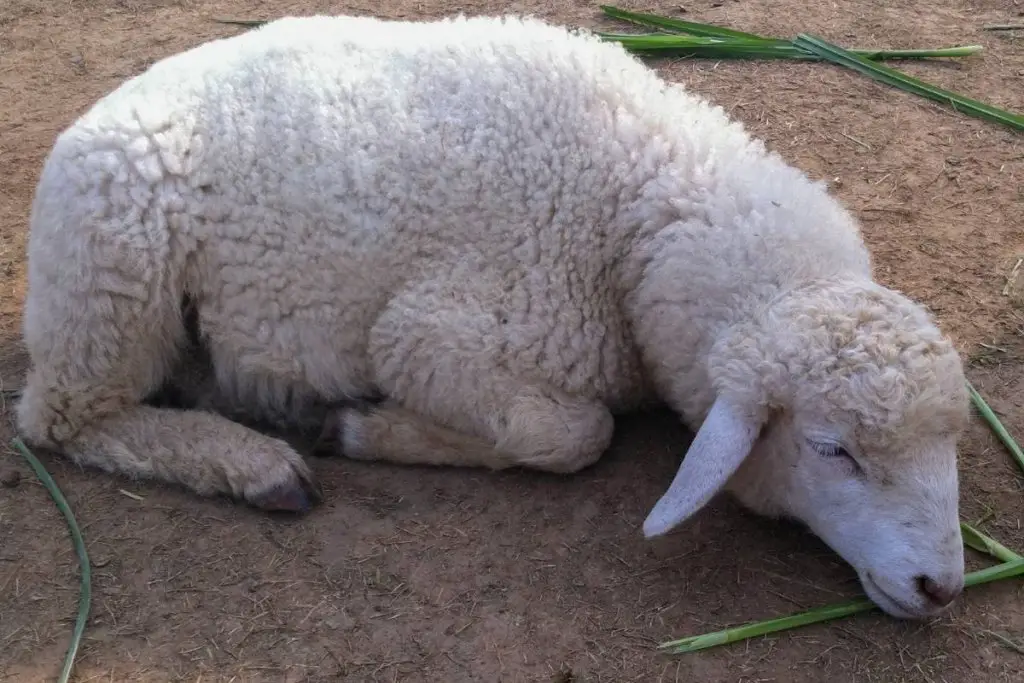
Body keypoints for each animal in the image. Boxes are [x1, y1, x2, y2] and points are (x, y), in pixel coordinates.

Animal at [19, 13, 970, 618]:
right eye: (832, 449)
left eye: (950, 442)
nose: (942, 587)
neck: (639, 202)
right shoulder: (430, 334)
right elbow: (572, 434)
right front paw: (361, 426)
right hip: (116, 268)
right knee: (60, 420)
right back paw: (256, 463)